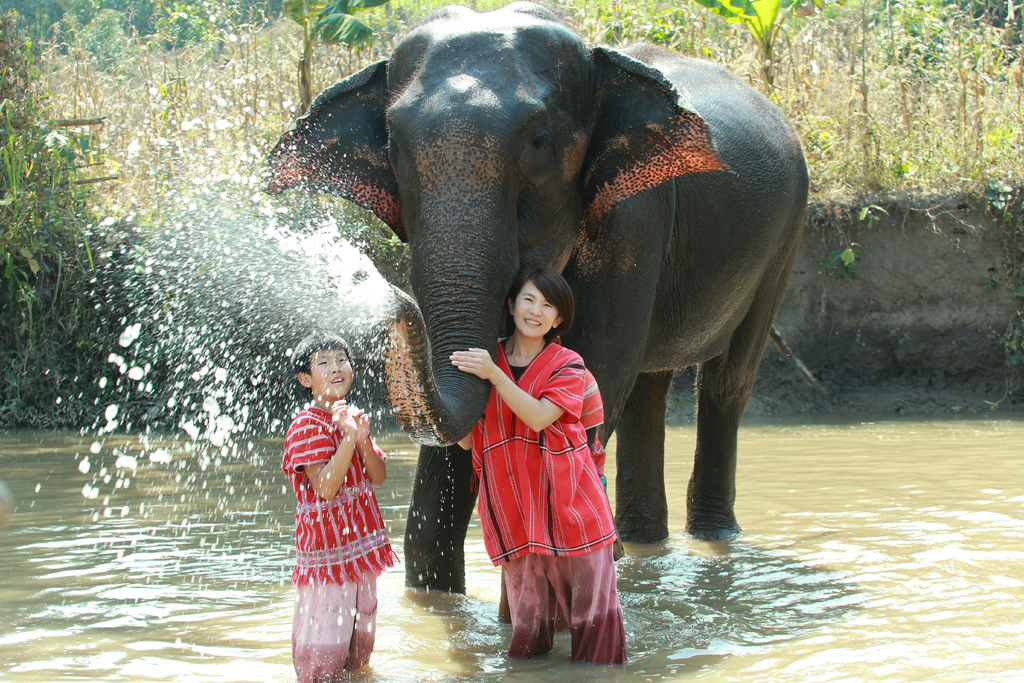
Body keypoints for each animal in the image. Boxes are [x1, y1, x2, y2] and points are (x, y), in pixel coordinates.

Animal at [267, 2, 808, 591]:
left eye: (539, 141)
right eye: (391, 144)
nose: (384, 292)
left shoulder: (635, 218)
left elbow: (595, 370)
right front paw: (434, 597)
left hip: (785, 239)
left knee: (725, 381)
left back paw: (708, 538)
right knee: (648, 386)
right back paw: (643, 544)